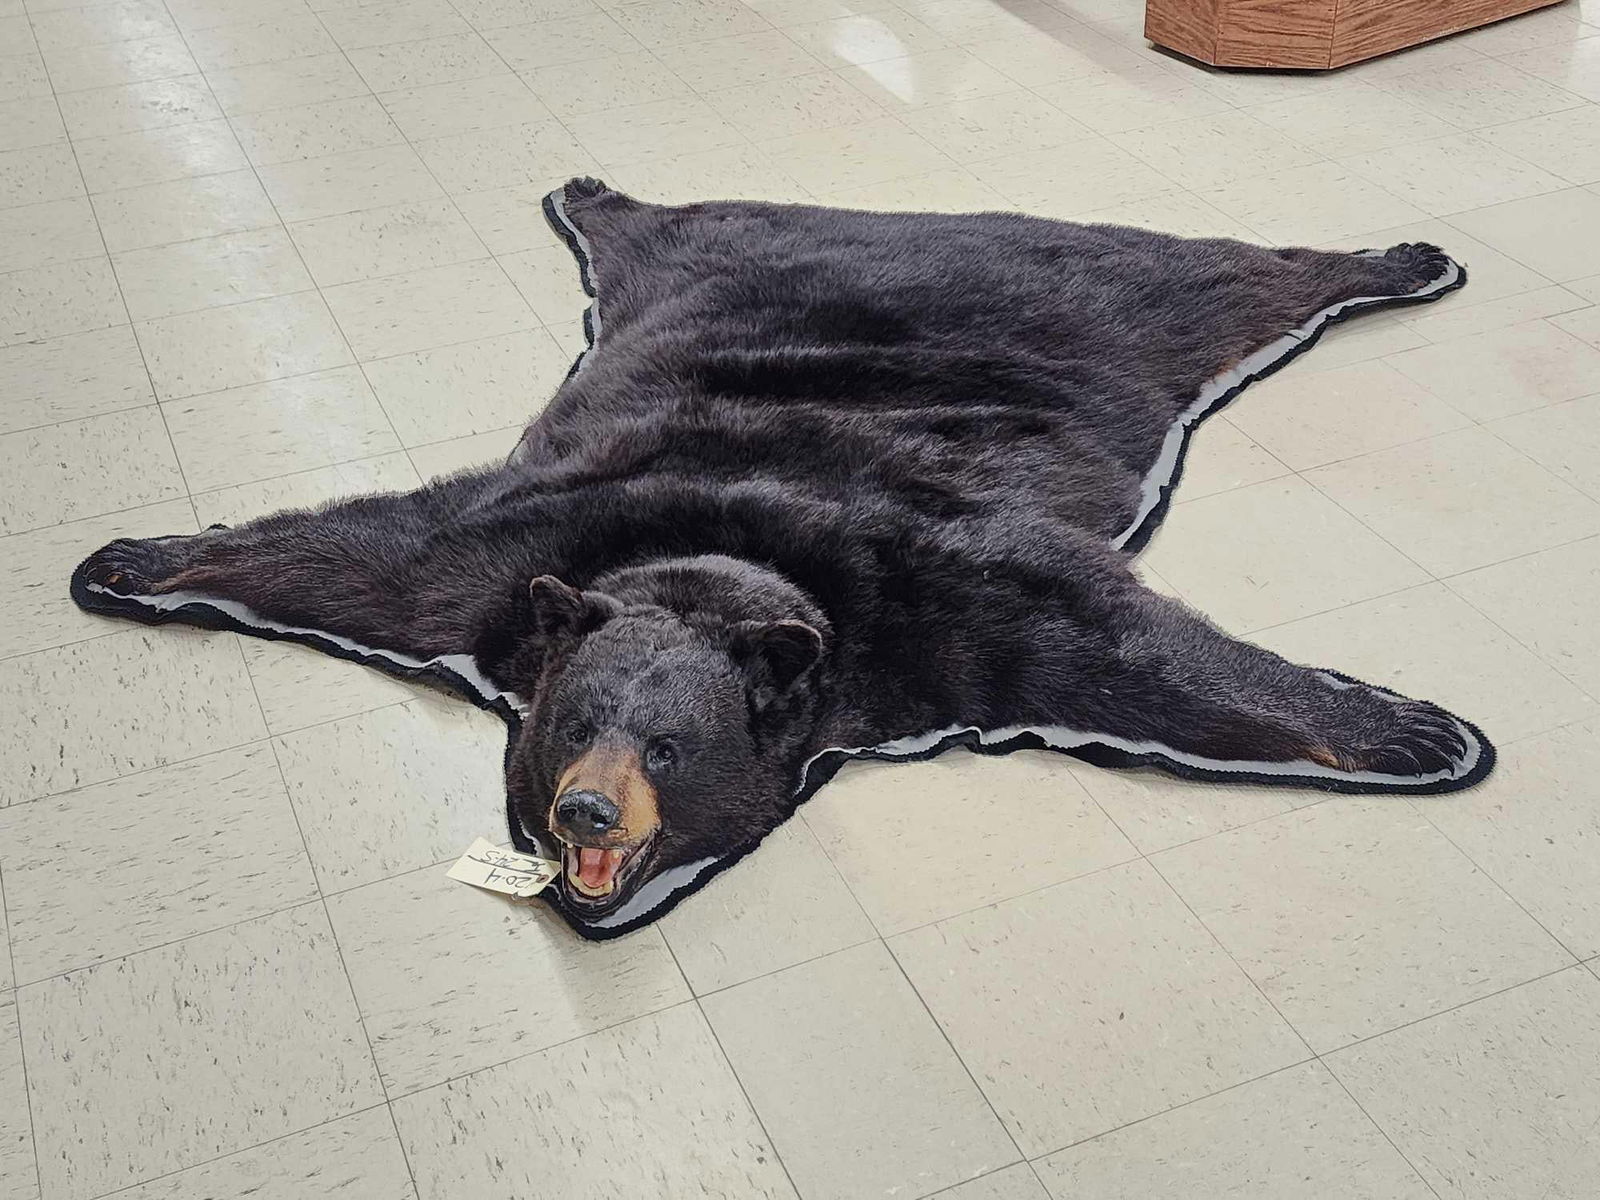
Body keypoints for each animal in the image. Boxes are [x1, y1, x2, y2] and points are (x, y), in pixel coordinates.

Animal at [72, 177, 1490, 938]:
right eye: (569, 726)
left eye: (667, 747)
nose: (585, 814)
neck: (711, 567)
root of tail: (893, 216)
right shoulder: (487, 568)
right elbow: (349, 549)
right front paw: (128, 559)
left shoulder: (934, 593)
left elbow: (1124, 645)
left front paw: (1418, 733)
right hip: (687, 259)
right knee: (641, 222)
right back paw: (585, 190)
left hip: (1107, 298)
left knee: (1230, 275)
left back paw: (1405, 257)